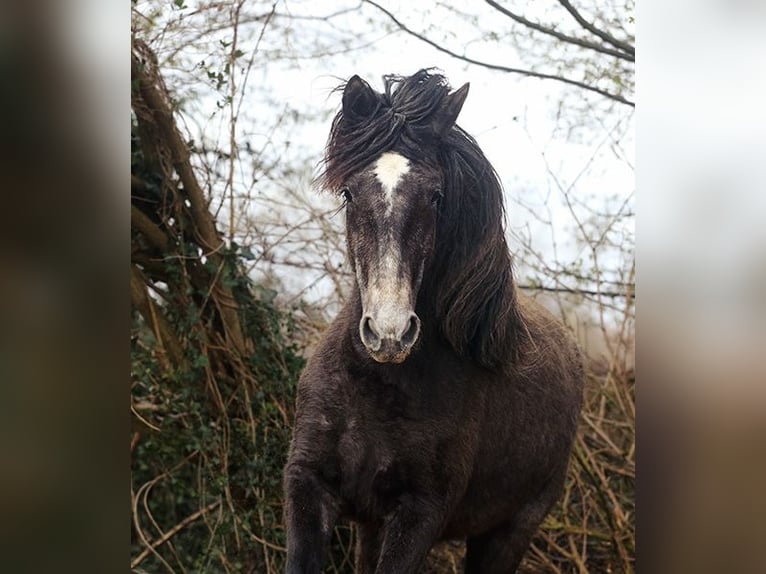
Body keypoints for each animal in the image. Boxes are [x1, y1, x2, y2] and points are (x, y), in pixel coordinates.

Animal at [283, 70, 584, 574]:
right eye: (349, 192)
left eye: (436, 196)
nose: (389, 333)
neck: (376, 385)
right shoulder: (308, 484)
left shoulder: (420, 515)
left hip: (507, 534)